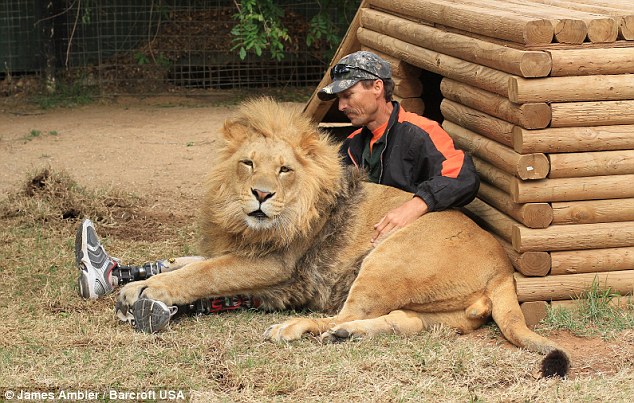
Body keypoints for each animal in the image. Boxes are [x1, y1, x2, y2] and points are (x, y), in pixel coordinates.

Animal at [116, 97, 572, 378]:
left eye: (284, 170)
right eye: (248, 163)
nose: (261, 195)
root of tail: (503, 269)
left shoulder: (277, 263)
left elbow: (205, 273)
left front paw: (146, 290)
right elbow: (192, 262)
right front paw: (138, 280)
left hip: (387, 257)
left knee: (342, 313)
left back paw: (295, 328)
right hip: (440, 309)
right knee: (402, 320)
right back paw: (348, 335)